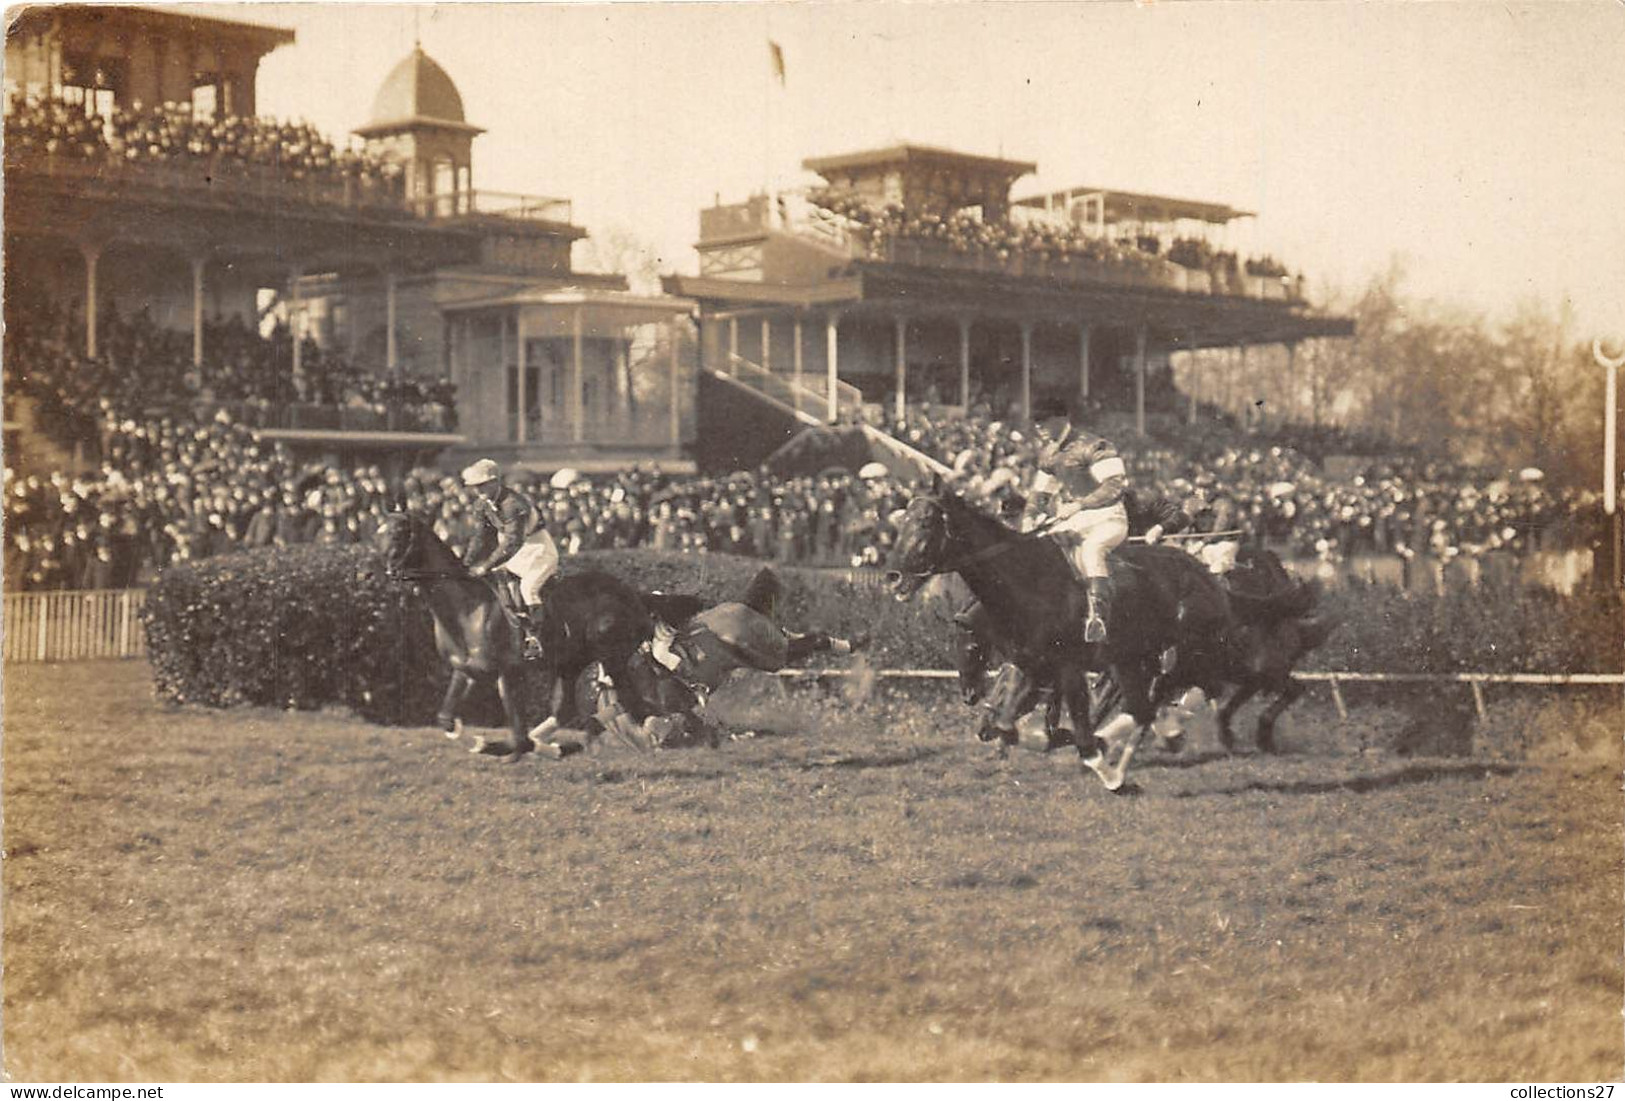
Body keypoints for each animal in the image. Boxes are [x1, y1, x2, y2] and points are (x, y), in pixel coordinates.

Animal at [380, 513, 653, 763]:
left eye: (398, 534)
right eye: (380, 532)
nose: (389, 571)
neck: (468, 608)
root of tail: (632, 594)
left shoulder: (509, 672)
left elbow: (519, 738)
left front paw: (491, 745)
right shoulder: (467, 670)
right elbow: (446, 720)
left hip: (612, 658)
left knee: (632, 703)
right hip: (569, 664)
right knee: (566, 710)